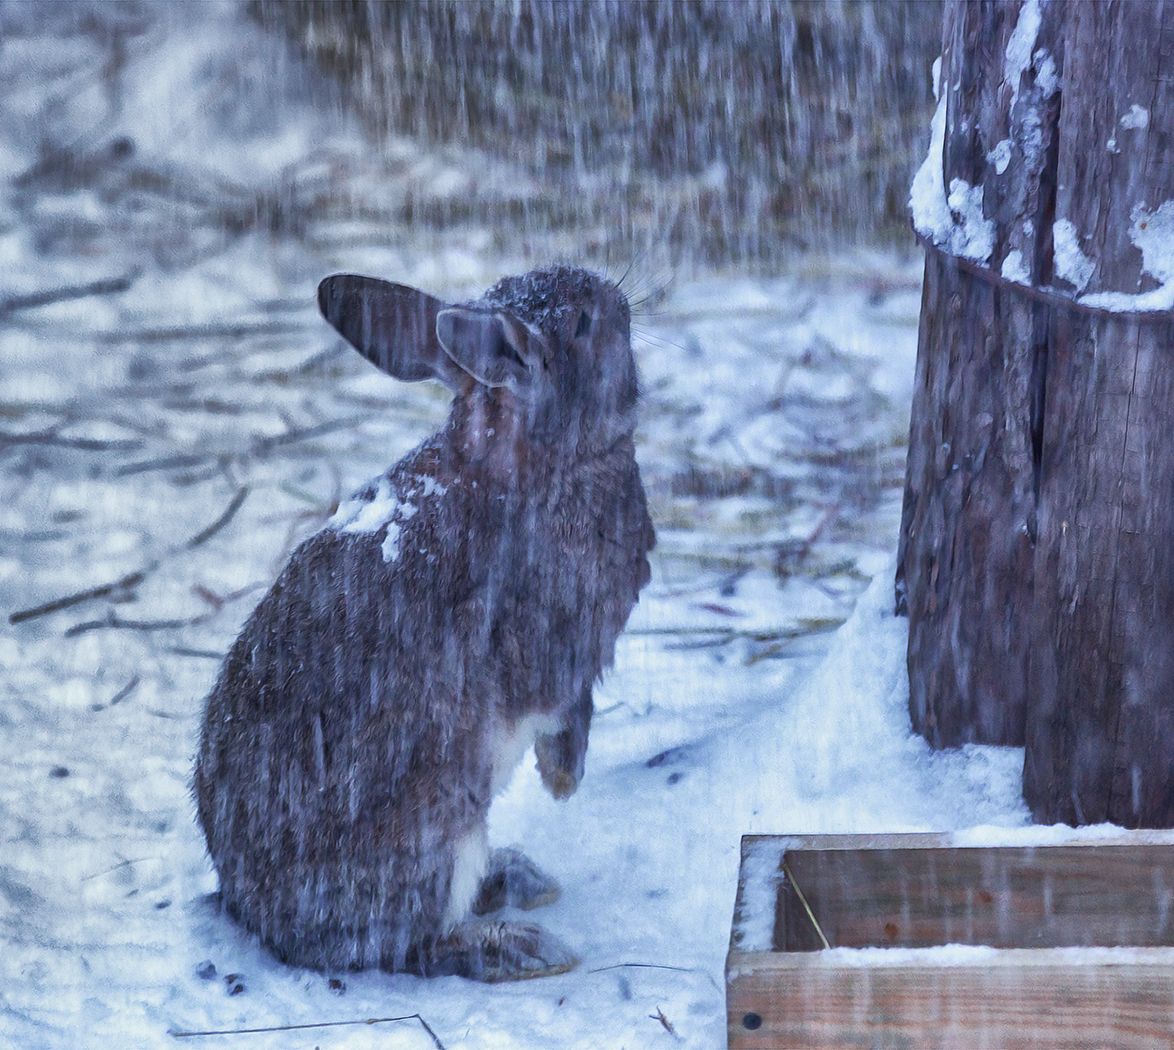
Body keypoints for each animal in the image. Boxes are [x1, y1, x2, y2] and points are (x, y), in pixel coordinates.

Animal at [189, 265, 657, 986]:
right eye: (583, 322)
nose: (620, 301)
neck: (533, 458)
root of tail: (256, 914)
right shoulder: (557, 642)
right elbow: (566, 704)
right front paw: (564, 777)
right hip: (438, 820)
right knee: (404, 945)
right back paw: (514, 946)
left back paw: (515, 880)